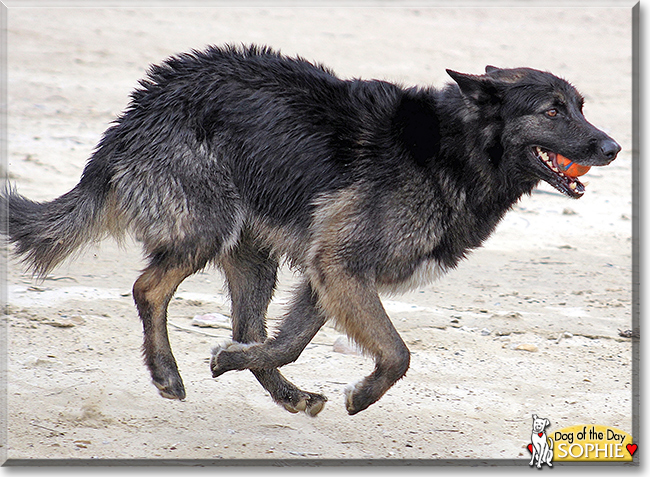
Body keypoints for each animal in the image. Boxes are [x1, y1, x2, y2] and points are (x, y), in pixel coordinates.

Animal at [0, 45, 616, 416]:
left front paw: (233, 361)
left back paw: (286, 394)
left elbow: (288, 344)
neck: (453, 150)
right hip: (207, 231)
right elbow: (397, 355)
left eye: (580, 107)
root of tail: (142, 104)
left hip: (256, 260)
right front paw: (363, 396)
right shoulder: (341, 266)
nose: (612, 147)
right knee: (148, 289)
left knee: (248, 326)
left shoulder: (331, 274)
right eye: (553, 111)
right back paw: (167, 375)